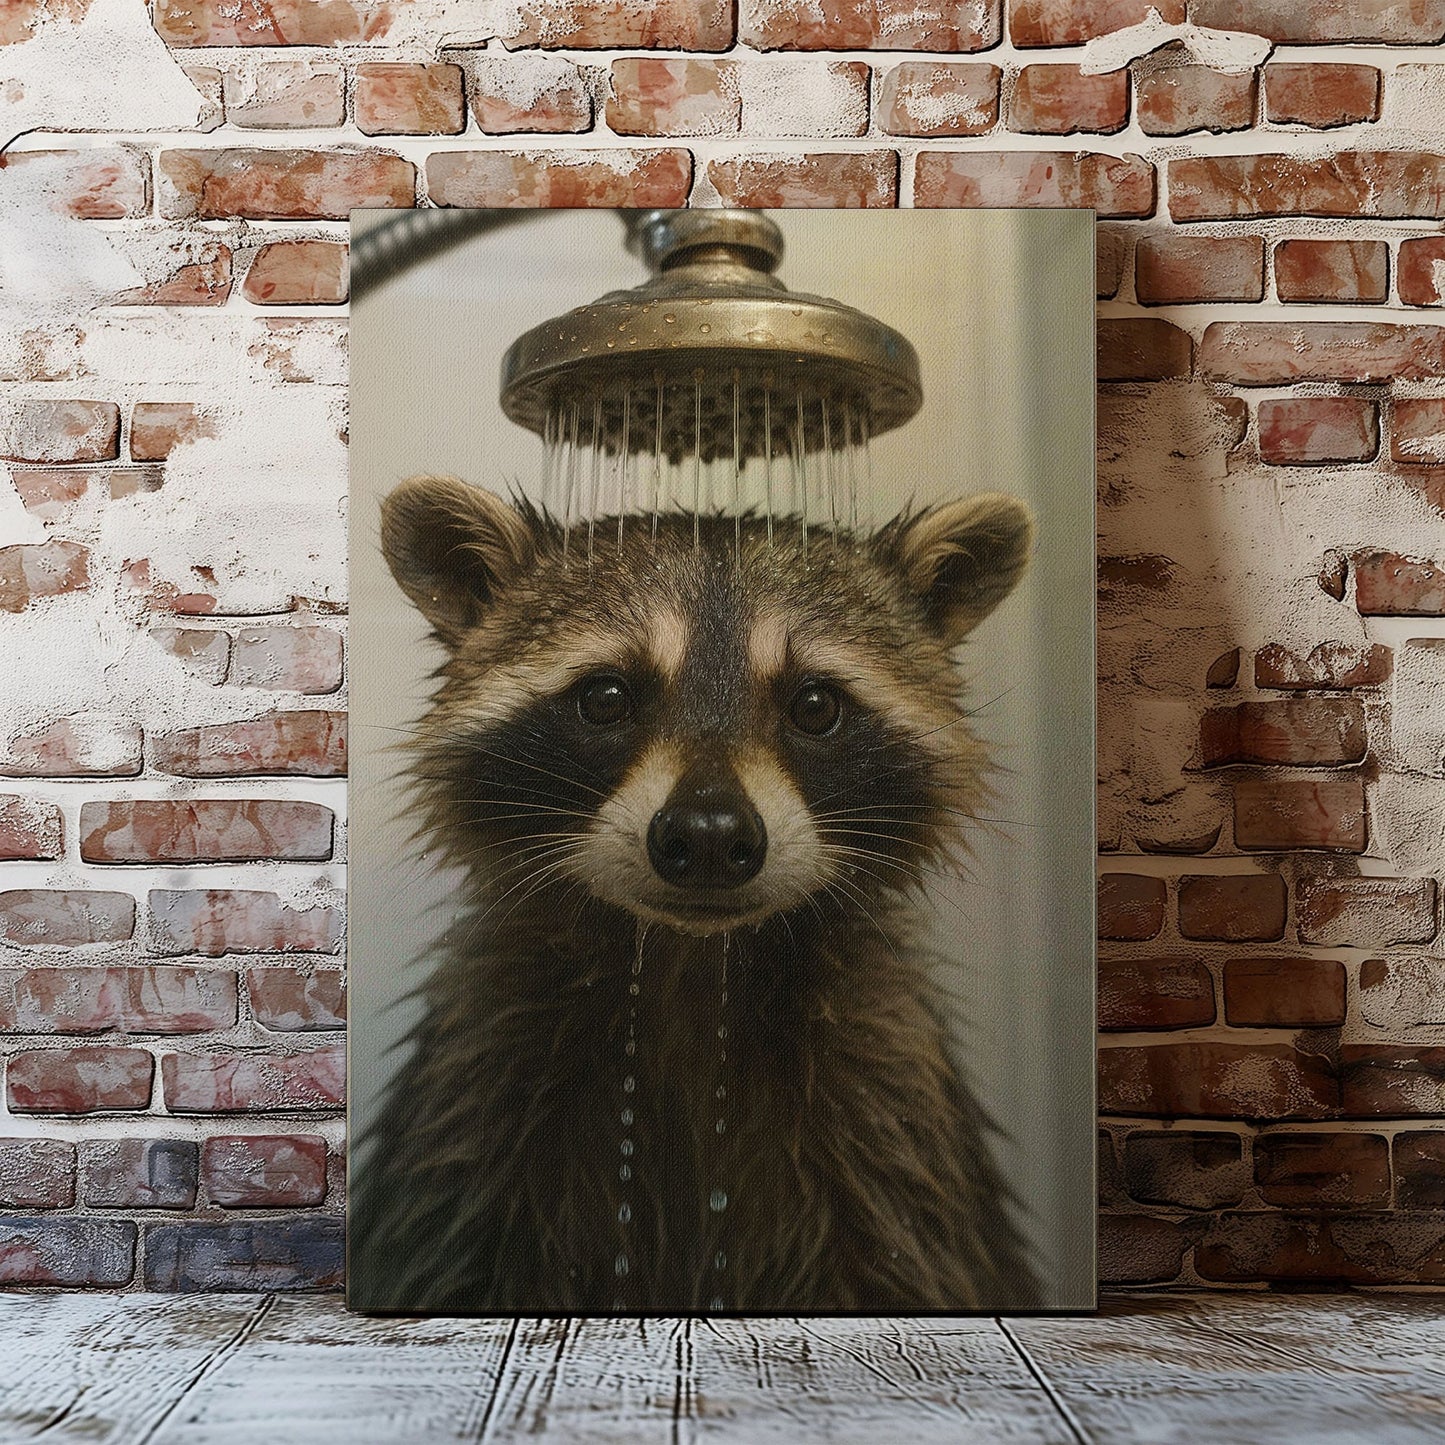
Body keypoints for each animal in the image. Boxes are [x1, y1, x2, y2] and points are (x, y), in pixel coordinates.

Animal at [350, 474, 1041, 1313]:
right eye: (605, 696)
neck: (691, 966)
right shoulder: (473, 1105)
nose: (709, 836)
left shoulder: (889, 1117)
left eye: (814, 705)